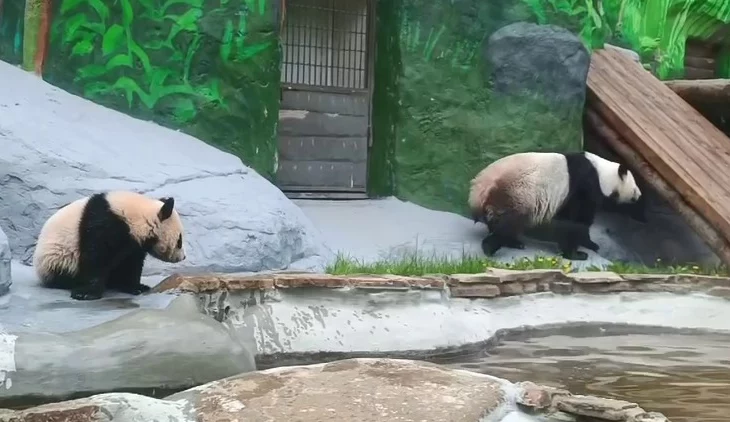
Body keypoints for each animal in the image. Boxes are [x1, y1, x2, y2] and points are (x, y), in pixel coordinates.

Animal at [33, 190, 186, 300]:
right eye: (179, 241)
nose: (183, 257)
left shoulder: (132, 244)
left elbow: (130, 264)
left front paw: (136, 287)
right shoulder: (104, 225)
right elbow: (95, 258)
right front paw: (86, 293)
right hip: (56, 258)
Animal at [468, 151, 641, 261]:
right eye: (634, 187)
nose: (639, 195)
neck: (601, 173)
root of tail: (479, 189)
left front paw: (588, 245)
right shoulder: (584, 184)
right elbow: (577, 220)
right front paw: (578, 253)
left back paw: (513, 243)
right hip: (516, 194)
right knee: (510, 222)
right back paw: (490, 248)